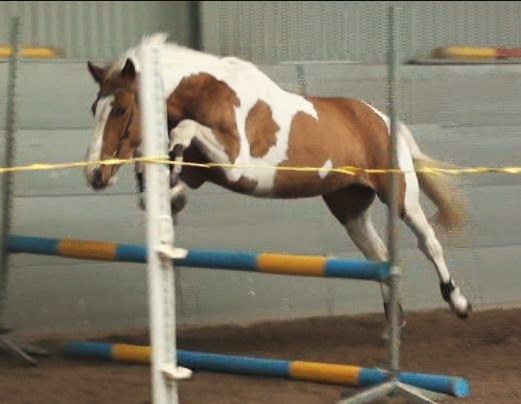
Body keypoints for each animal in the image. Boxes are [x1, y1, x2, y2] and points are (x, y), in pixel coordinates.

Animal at [84, 33, 472, 330]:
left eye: (120, 109)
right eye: (93, 108)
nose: (94, 175)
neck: (208, 92)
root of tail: (383, 120)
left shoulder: (238, 164)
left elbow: (184, 130)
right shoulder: (203, 170)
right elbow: (169, 166)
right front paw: (167, 191)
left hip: (400, 196)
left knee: (428, 242)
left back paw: (458, 302)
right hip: (349, 207)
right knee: (379, 257)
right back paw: (394, 319)